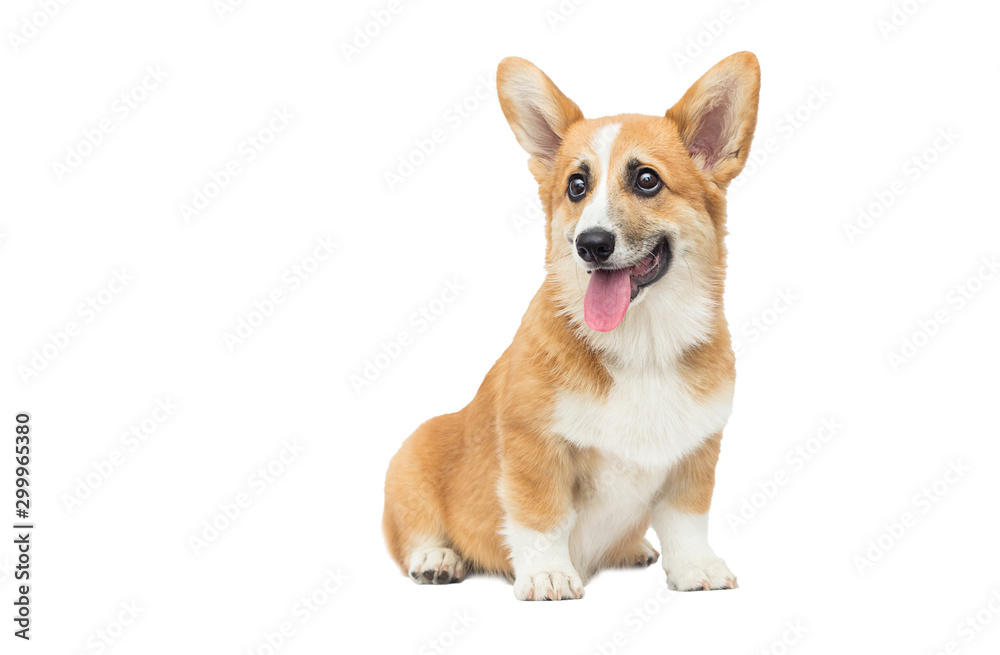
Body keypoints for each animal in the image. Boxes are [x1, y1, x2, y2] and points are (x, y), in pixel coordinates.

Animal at [380, 53, 756, 604]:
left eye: (647, 180)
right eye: (577, 186)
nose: (591, 244)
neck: (642, 344)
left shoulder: (697, 450)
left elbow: (686, 519)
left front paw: (695, 568)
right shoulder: (533, 445)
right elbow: (542, 517)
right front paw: (548, 575)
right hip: (411, 458)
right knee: (415, 532)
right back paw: (437, 559)